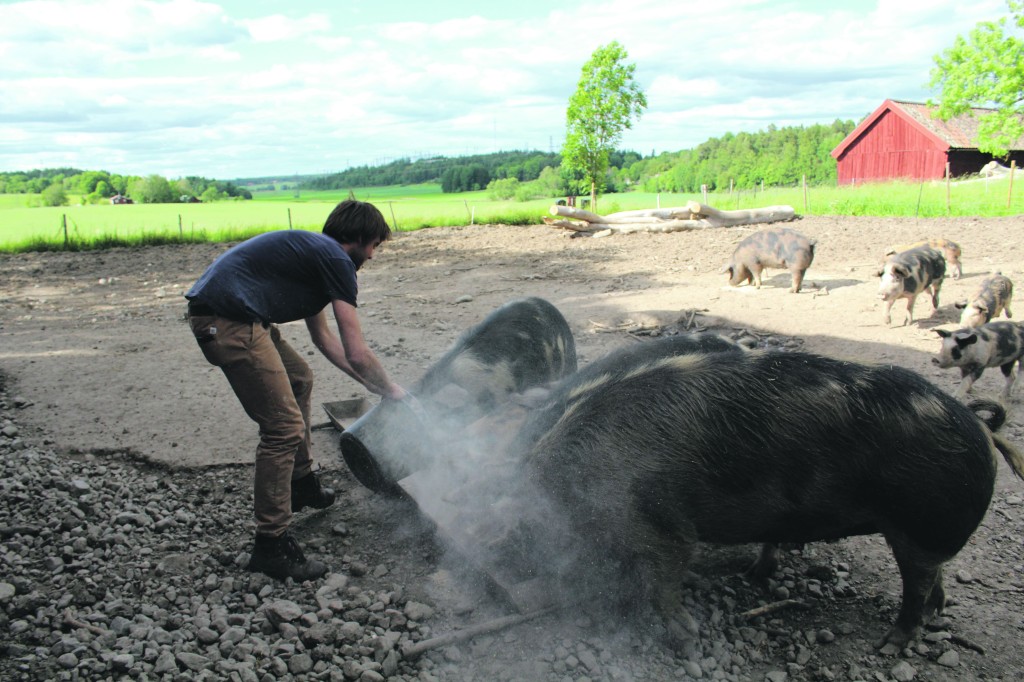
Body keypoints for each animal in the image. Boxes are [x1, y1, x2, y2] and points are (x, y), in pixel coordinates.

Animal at [516, 346, 1024, 647]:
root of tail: (981, 427)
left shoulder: (663, 523)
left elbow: (666, 576)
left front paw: (686, 636)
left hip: (922, 525)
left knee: (917, 586)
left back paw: (890, 642)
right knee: (936, 579)